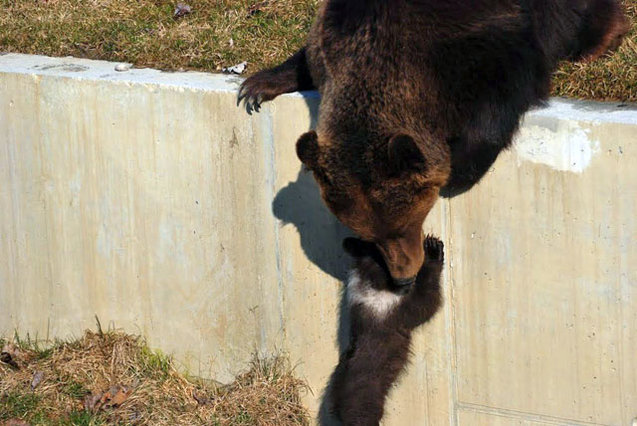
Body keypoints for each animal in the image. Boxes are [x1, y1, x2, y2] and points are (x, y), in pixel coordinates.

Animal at [237, 0, 628, 286]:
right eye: (368, 235)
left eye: (404, 226)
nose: (403, 278)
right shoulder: (334, 35)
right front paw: (258, 85)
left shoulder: (483, 41)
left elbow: (500, 101)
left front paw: (459, 170)